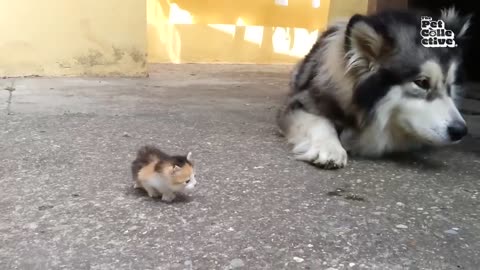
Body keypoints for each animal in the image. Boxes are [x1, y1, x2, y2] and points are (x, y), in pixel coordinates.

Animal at [280, 7, 470, 169]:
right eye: (422, 82)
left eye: (450, 85)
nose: (461, 131)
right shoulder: (301, 101)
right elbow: (319, 121)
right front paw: (329, 147)